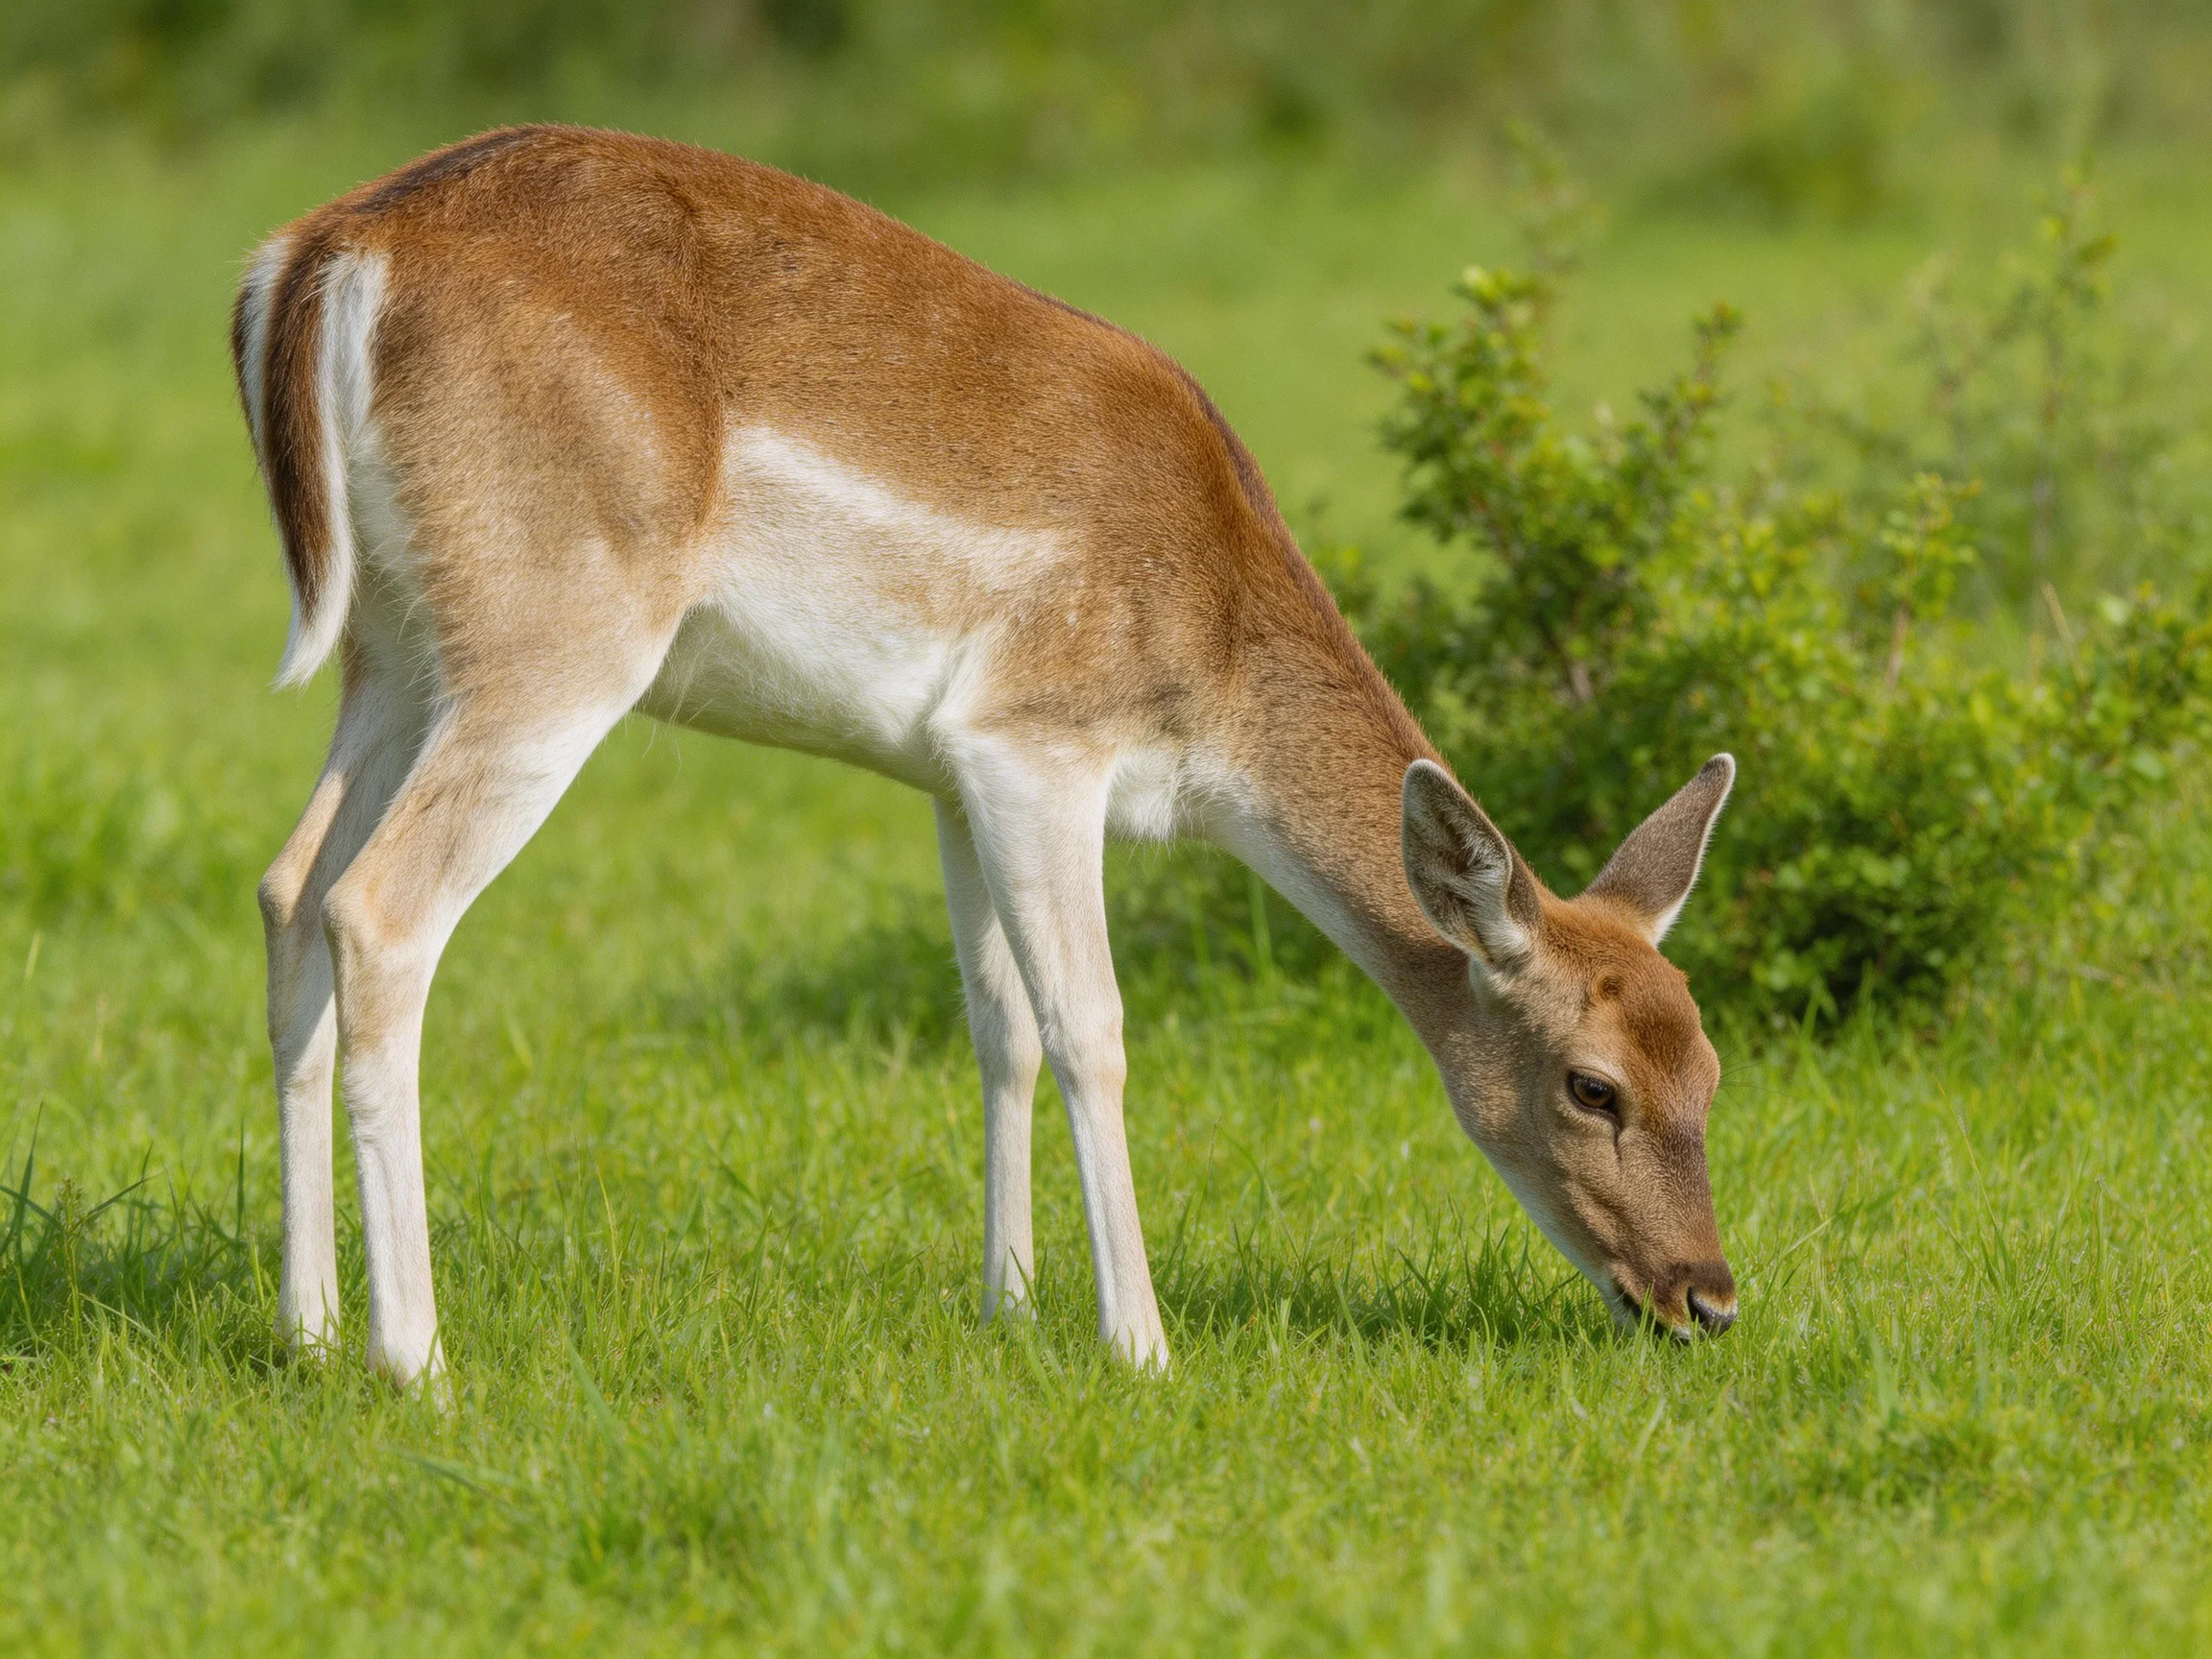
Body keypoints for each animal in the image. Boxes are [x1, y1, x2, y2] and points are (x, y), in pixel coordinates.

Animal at [232, 126, 1740, 1392]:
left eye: (1713, 1064)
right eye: (1591, 1083)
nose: (1710, 1297)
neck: (1212, 686)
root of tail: (318, 254)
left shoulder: (950, 778)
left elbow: (999, 1023)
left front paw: (1008, 1308)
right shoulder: (1036, 738)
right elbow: (1092, 1026)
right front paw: (1140, 1342)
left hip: (392, 647)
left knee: (291, 883)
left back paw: (307, 1329)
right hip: (554, 639)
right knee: (380, 908)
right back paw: (414, 1356)